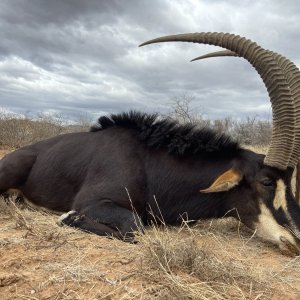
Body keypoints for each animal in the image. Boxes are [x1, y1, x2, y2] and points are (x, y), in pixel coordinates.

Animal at [0, 32, 300, 255]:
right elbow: (135, 227)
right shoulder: (93, 202)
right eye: (267, 182)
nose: (295, 240)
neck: (148, 163)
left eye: (290, 180)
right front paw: (66, 218)